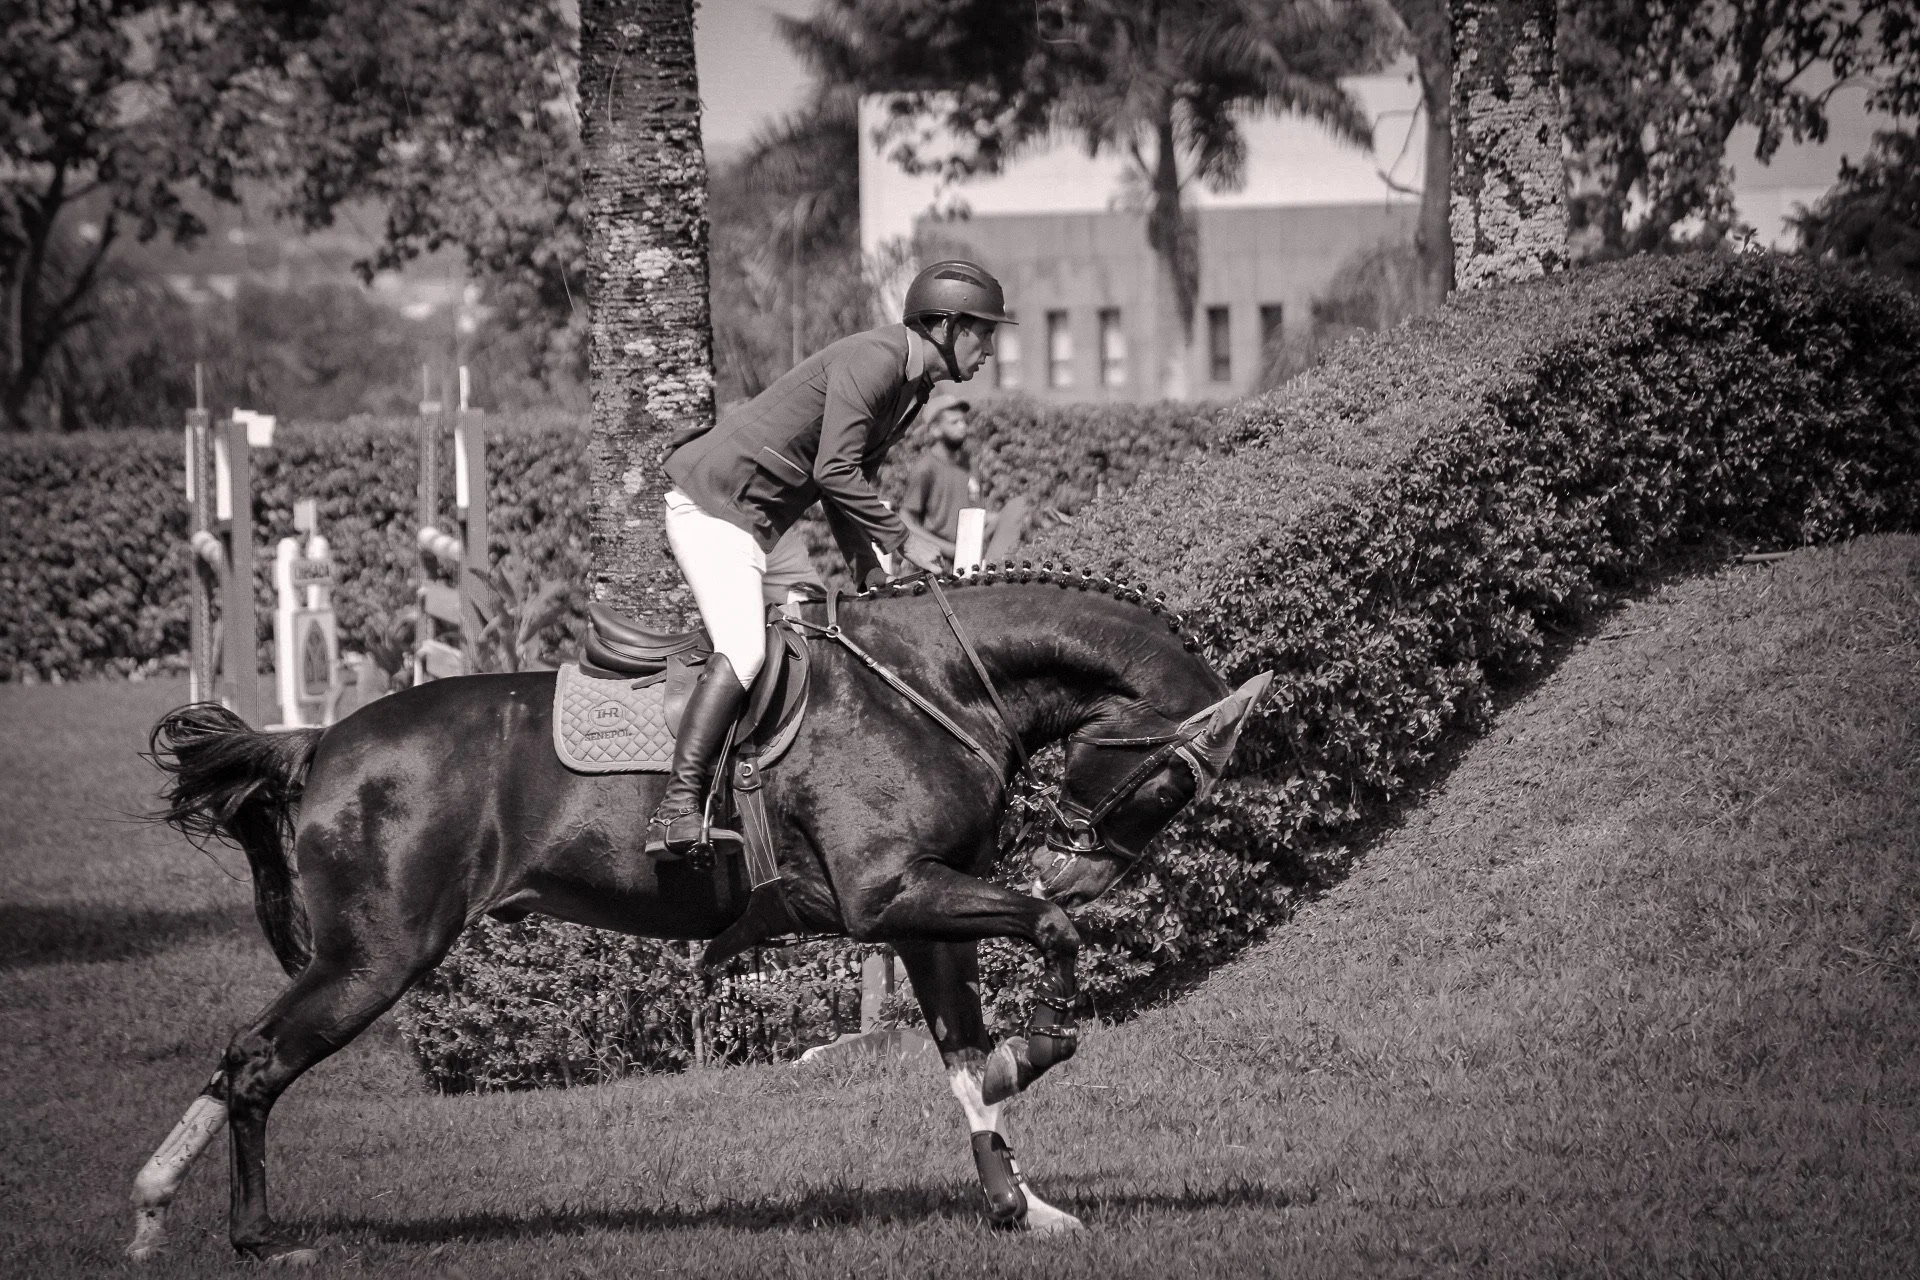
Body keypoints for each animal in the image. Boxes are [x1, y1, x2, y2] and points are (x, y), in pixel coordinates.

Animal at [129, 570, 1271, 1262]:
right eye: (1173, 784)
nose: (1077, 875)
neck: (933, 686)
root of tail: (317, 743)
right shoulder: (891, 894)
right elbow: (1047, 946)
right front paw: (1028, 1052)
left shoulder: (918, 910)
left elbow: (960, 1051)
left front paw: (1016, 1201)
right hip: (378, 956)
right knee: (255, 1061)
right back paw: (241, 1235)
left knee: (241, 1063)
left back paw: (152, 1213)